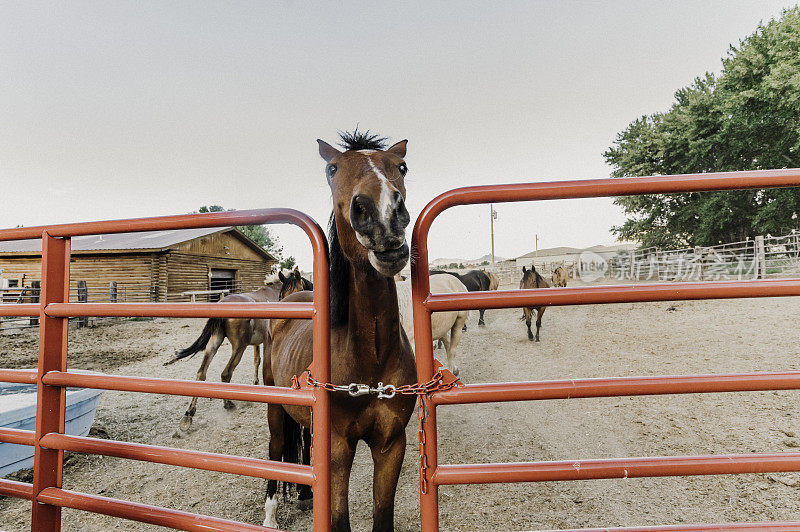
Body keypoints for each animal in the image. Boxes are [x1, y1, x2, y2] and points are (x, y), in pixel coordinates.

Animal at [167, 268, 310, 430]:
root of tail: (223, 303)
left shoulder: (256, 343)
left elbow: (256, 360)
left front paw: (255, 383)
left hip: (214, 343)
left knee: (201, 374)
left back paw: (189, 414)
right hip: (239, 347)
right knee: (226, 373)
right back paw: (227, 403)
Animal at [262, 130, 416, 532]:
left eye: (402, 167)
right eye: (332, 169)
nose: (382, 215)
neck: (369, 358)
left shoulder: (391, 445)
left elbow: (382, 517)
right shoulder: (337, 450)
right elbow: (338, 519)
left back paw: (304, 493)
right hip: (274, 406)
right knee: (274, 450)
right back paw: (269, 515)